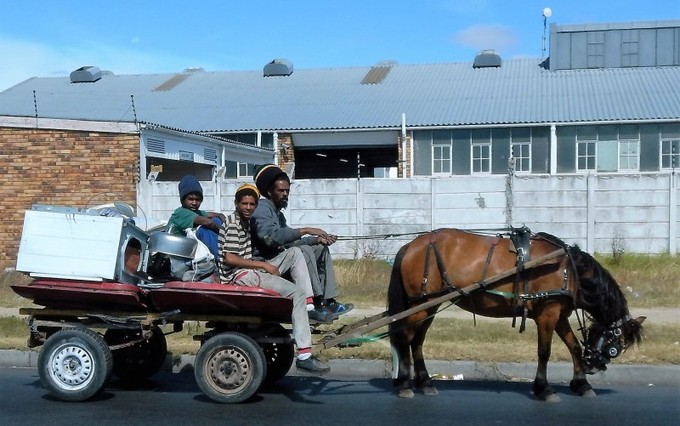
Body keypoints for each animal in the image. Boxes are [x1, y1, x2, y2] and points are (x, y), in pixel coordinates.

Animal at [388, 228, 644, 402]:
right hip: (422, 304)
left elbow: (573, 347)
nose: (596, 367)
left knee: (417, 341)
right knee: (405, 339)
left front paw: (581, 384)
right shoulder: (547, 314)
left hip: (428, 306)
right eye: (617, 343)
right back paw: (404, 384)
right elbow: (544, 352)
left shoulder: (559, 315)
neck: (568, 269)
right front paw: (544, 389)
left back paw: (425, 382)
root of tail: (411, 245)